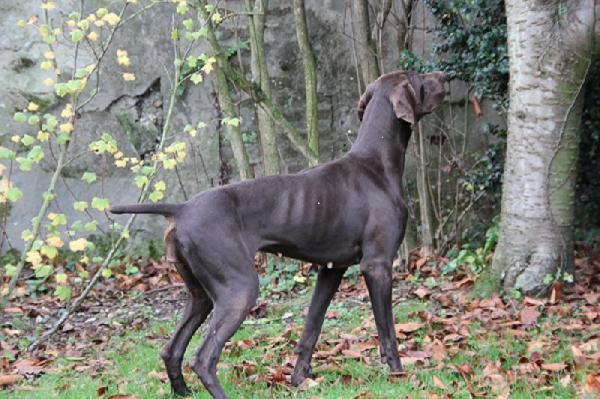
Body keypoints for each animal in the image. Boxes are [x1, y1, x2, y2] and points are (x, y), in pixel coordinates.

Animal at [110, 70, 446, 398]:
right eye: (419, 78)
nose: (443, 76)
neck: (376, 165)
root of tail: (182, 208)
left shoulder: (331, 270)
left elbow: (311, 329)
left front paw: (298, 380)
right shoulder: (377, 265)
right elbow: (387, 331)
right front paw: (398, 375)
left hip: (201, 295)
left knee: (171, 349)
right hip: (239, 289)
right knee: (203, 358)